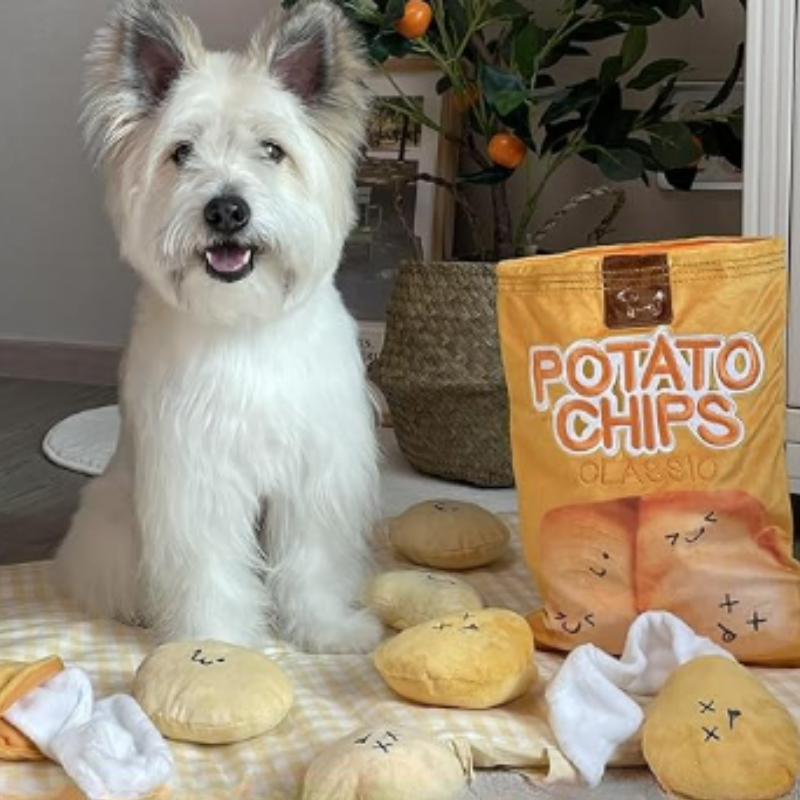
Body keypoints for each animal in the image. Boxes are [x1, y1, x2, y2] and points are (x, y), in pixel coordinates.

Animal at [54, 0, 384, 652]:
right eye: (181, 152)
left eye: (273, 150)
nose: (227, 210)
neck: (246, 324)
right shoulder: (198, 484)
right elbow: (209, 572)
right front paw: (218, 646)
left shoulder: (314, 478)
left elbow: (311, 560)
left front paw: (325, 629)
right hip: (113, 519)